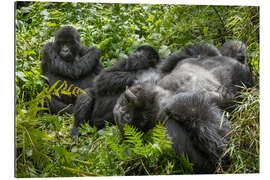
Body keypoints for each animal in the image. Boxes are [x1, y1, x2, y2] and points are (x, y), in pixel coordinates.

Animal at [113, 40, 253, 173]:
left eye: (123, 103)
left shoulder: (158, 74)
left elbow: (187, 54)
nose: (128, 98)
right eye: (126, 116)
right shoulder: (170, 131)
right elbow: (219, 155)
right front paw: (179, 102)